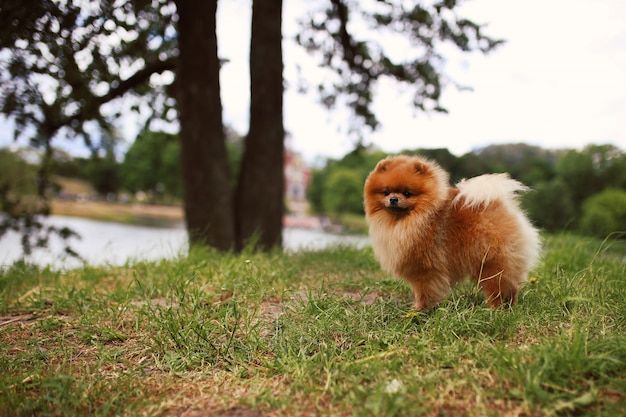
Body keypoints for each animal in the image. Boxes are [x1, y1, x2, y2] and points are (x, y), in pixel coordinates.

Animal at [364, 155, 540, 308]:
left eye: (407, 193)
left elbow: (424, 292)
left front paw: (420, 311)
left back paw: (495, 311)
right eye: (386, 192)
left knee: (499, 287)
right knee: (512, 287)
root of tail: (501, 205)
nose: (393, 199)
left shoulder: (425, 269)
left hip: (491, 262)